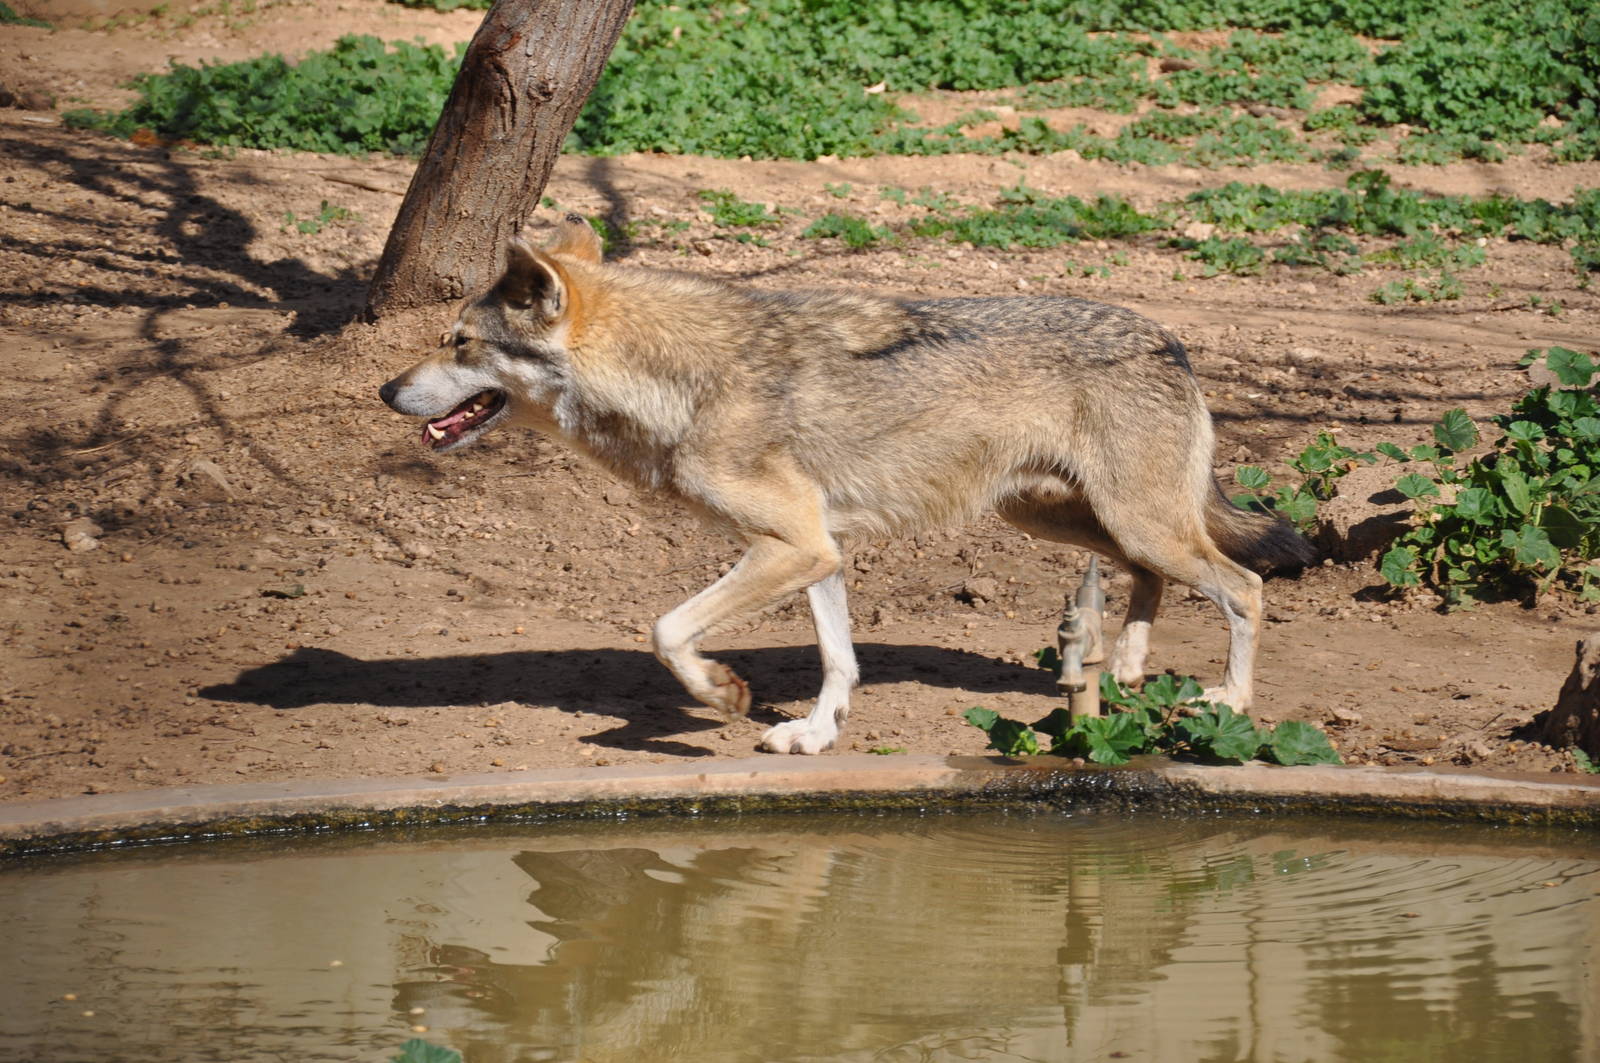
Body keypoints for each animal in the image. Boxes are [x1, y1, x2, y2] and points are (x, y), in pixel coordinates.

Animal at [379, 215, 1313, 754]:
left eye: (458, 341)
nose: (386, 389)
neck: (681, 381)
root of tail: (1170, 337)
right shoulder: (818, 548)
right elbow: (839, 657)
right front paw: (816, 732)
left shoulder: (791, 545)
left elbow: (667, 629)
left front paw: (724, 694)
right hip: (1066, 520)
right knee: (1157, 577)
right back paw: (1123, 666)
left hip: (1128, 519)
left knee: (1244, 584)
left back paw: (1227, 695)